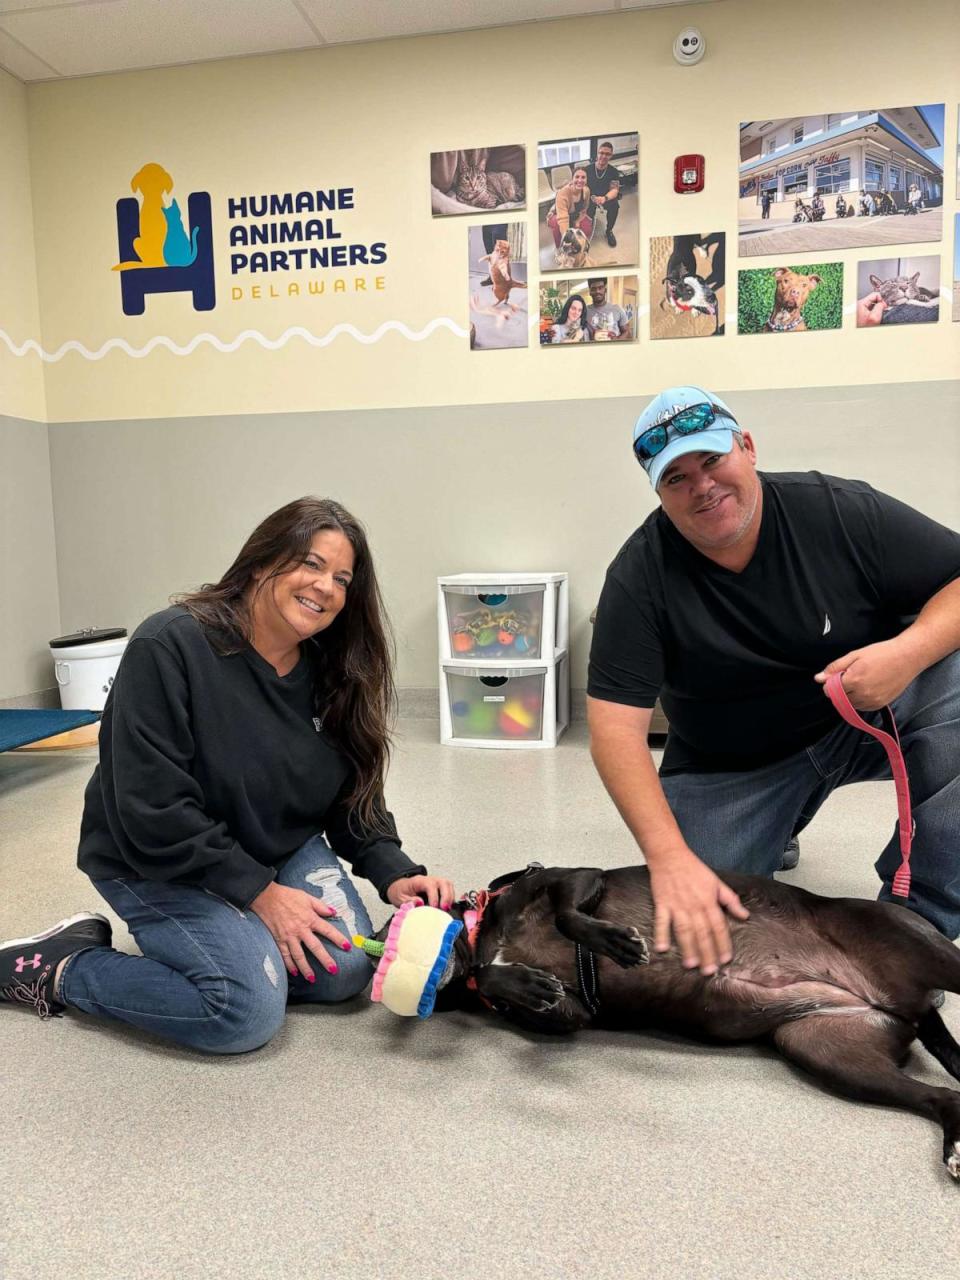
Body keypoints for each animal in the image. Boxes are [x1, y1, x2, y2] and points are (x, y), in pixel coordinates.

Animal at [389, 865, 960, 1182]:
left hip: (924, 955)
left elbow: (568, 915)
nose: (379, 950)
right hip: (829, 1054)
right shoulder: (572, 1011)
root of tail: (908, 1005)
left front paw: (613, 941)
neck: (484, 932)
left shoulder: (575, 878)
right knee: (942, 1096)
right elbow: (494, 977)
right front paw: (516, 982)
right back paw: (954, 1147)